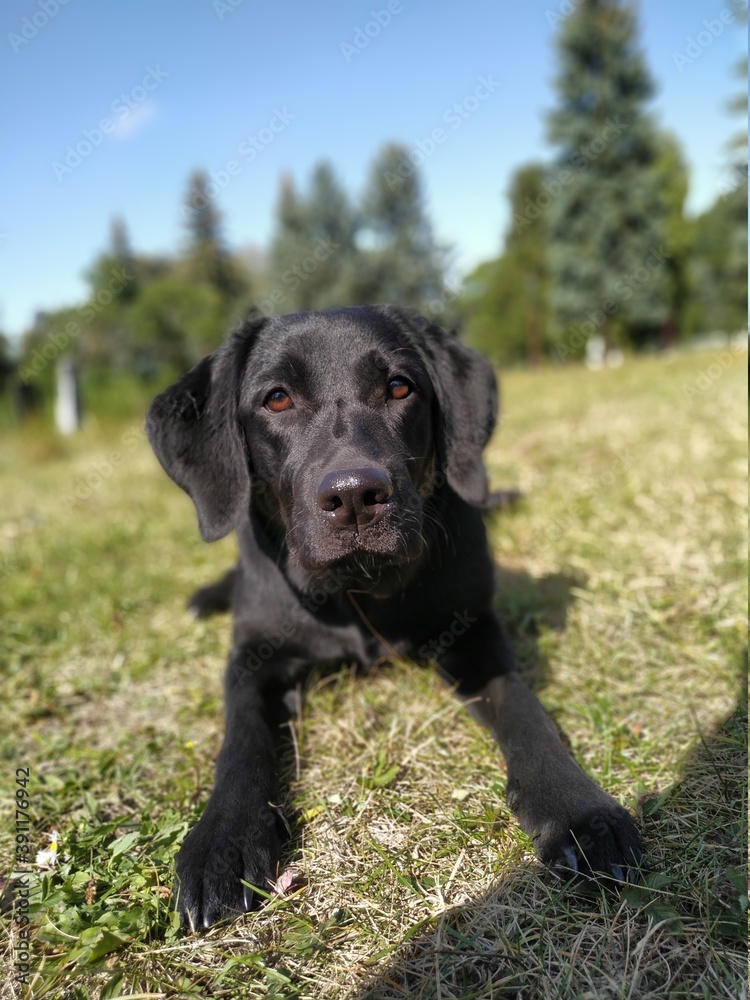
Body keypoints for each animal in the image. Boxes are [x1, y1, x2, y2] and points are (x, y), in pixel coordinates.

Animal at [148, 304, 648, 928]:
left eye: (400, 387)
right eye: (277, 399)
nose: (354, 496)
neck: (357, 590)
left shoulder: (472, 629)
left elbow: (525, 711)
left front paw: (579, 812)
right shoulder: (253, 655)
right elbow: (241, 741)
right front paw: (223, 838)